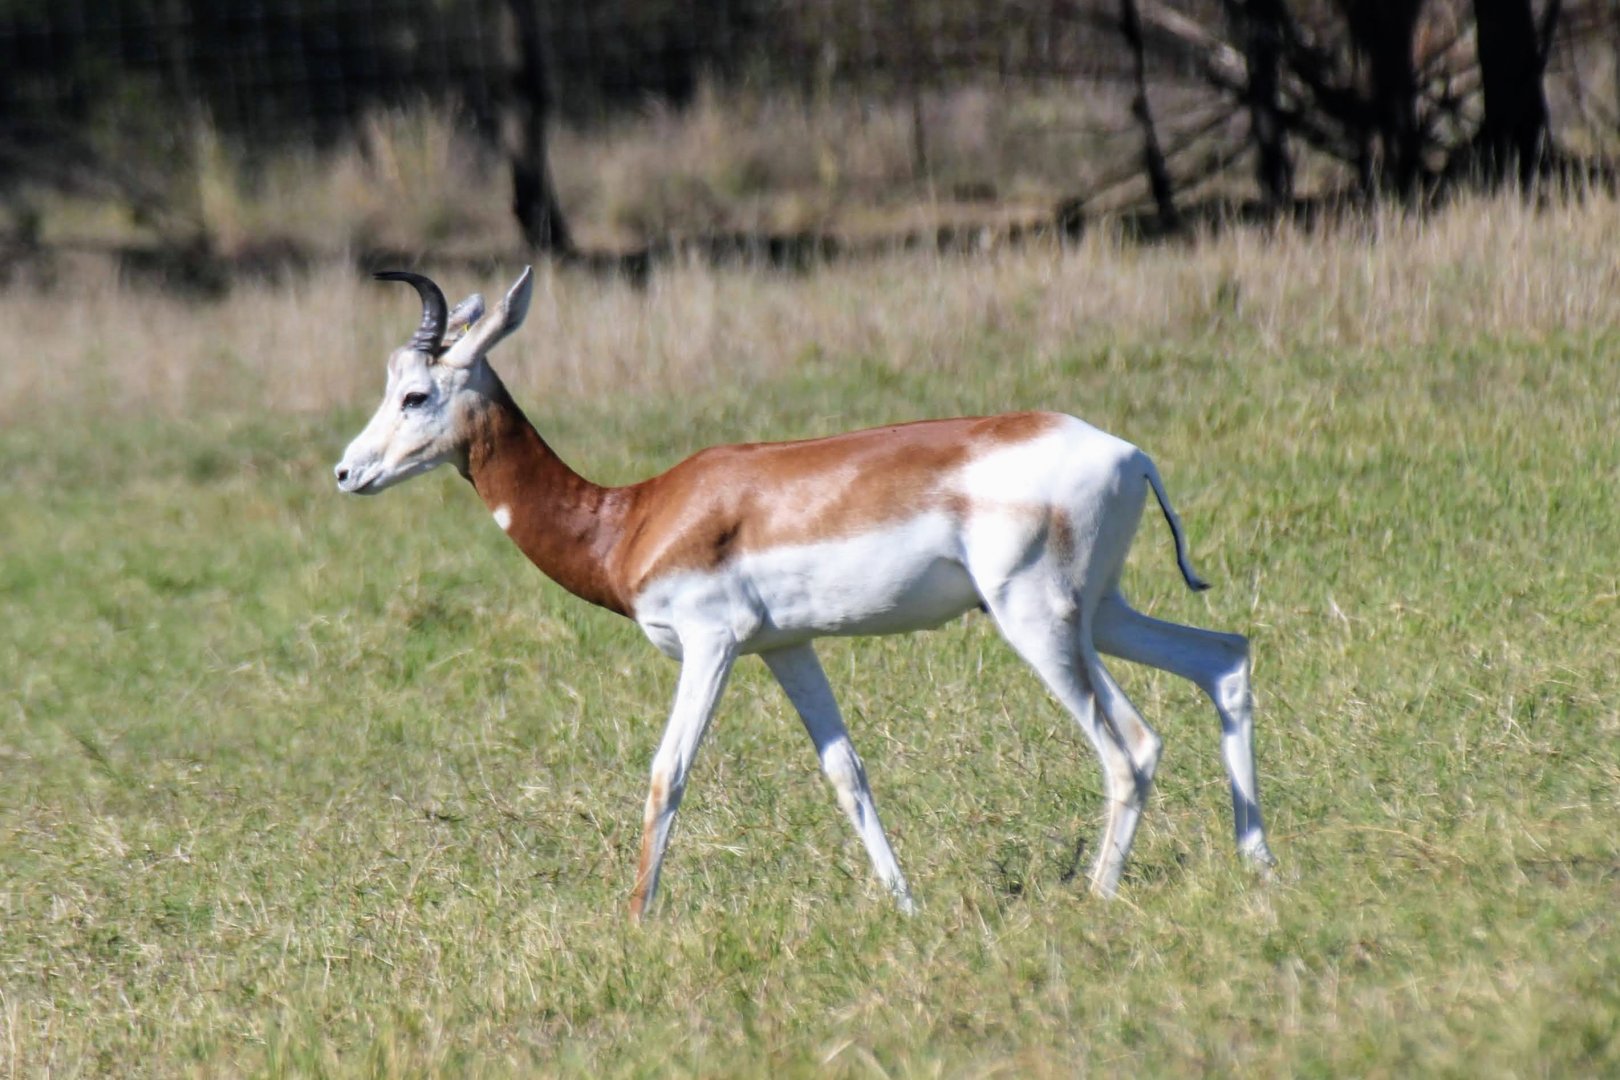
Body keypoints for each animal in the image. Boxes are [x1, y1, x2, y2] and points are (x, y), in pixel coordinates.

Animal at [335, 266, 1276, 918]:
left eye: (415, 393)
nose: (347, 472)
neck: (632, 517)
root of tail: (1127, 451)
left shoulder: (710, 646)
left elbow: (668, 773)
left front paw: (634, 921)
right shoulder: (786, 647)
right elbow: (847, 774)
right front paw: (905, 905)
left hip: (1038, 620)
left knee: (1132, 746)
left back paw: (1097, 899)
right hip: (1101, 611)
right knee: (1223, 659)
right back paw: (1258, 865)